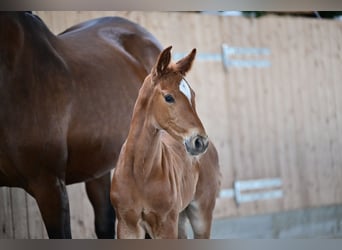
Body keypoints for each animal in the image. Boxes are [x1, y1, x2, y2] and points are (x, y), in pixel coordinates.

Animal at [111, 46, 220, 239]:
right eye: (169, 97)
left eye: (193, 95)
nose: (200, 141)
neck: (139, 173)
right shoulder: (126, 225)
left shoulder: (165, 223)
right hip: (181, 217)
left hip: (201, 214)